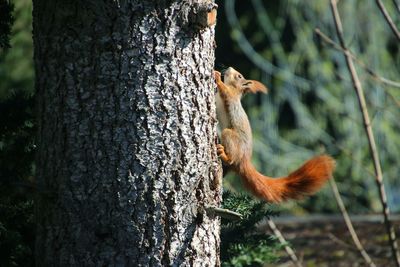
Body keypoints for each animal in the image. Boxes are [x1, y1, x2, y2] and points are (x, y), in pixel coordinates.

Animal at [214, 67, 336, 203]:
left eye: (239, 76)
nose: (228, 68)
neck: (235, 89)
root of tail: (244, 160)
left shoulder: (231, 97)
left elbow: (224, 91)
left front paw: (217, 76)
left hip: (230, 137)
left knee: (231, 159)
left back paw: (224, 154)